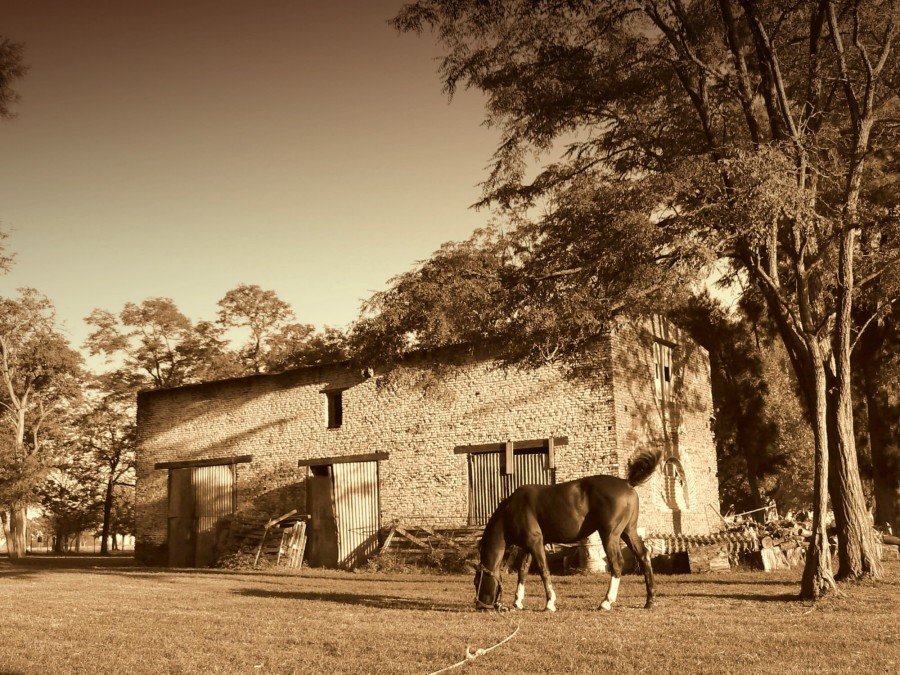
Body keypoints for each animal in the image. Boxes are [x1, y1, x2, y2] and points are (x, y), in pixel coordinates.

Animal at [474, 448, 664, 612]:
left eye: (476, 581)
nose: (479, 605)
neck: (512, 509)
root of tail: (626, 482)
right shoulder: (529, 546)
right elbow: (523, 571)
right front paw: (518, 602)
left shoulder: (535, 543)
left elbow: (543, 570)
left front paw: (550, 603)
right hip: (628, 532)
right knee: (644, 556)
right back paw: (650, 600)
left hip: (610, 535)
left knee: (617, 563)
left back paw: (606, 602)